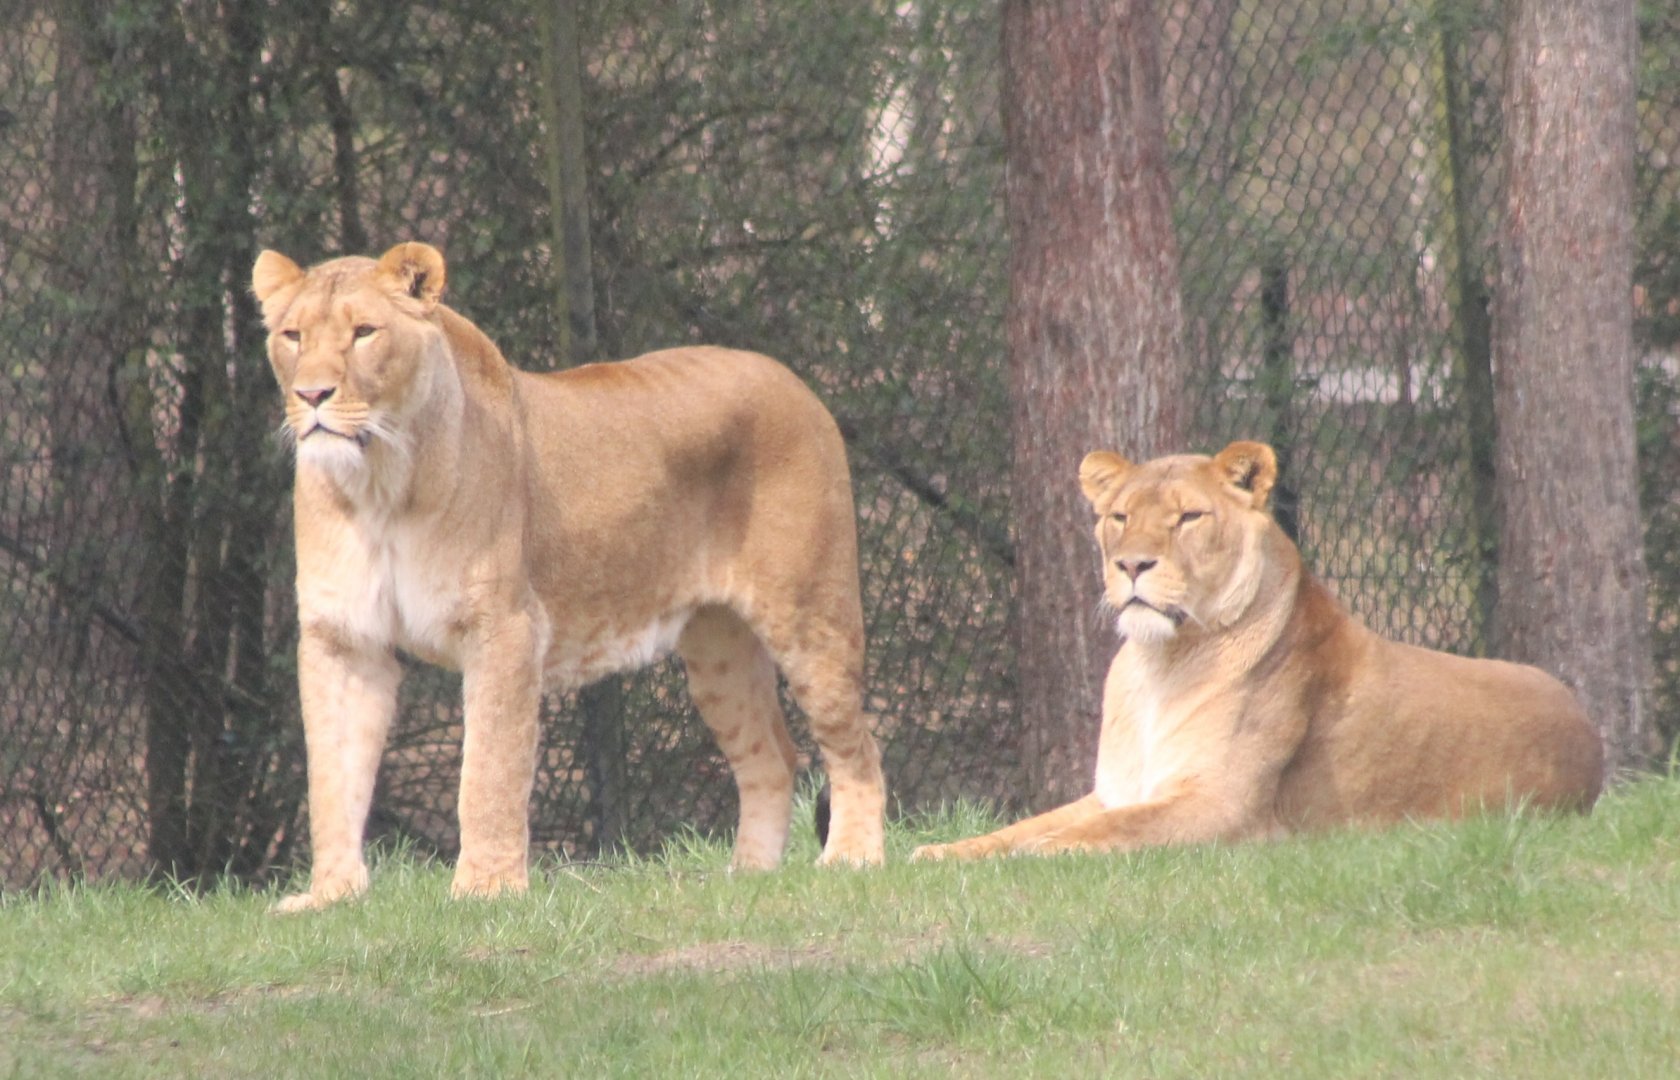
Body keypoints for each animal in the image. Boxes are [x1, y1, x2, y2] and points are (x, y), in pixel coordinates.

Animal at [252, 242, 885, 911]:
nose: (312, 394)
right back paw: (750, 877)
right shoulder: (342, 639)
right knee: (772, 757)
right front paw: (330, 896)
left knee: (856, 746)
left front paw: (485, 890)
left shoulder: (504, 628)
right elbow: (331, 777)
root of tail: (794, 380)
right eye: (293, 336)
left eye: (364, 333)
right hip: (719, 651)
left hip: (810, 615)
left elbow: (489, 769)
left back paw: (852, 857)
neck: (379, 486)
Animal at [912, 440, 1603, 862]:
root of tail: (1589, 734)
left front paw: (1039, 853)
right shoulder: (1118, 789)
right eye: (1118, 516)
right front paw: (940, 853)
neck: (1159, 664)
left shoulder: (1224, 808)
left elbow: (1097, 830)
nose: (1131, 564)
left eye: (1189, 517)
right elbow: (1014, 828)